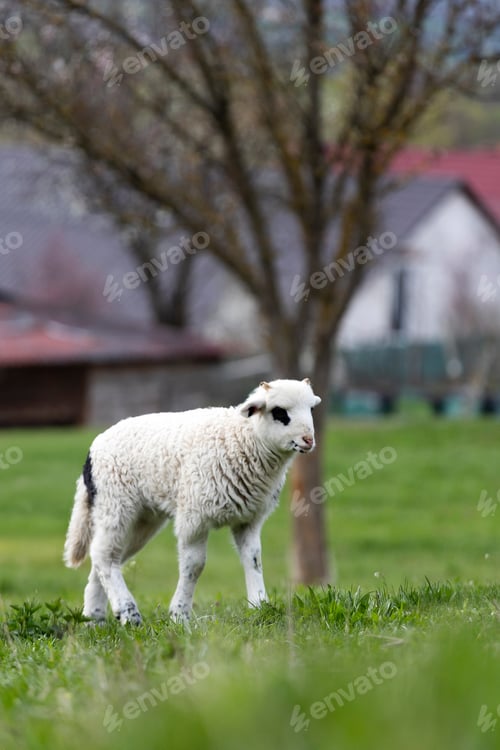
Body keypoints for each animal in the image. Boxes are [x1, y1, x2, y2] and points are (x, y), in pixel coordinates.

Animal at [63, 378, 321, 624]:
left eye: (310, 409)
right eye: (279, 412)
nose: (308, 440)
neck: (243, 438)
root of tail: (91, 454)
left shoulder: (249, 518)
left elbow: (254, 559)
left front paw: (259, 606)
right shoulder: (194, 517)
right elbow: (194, 566)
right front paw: (179, 615)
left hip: (143, 519)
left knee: (108, 557)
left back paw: (95, 618)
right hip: (115, 503)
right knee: (103, 555)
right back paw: (128, 613)